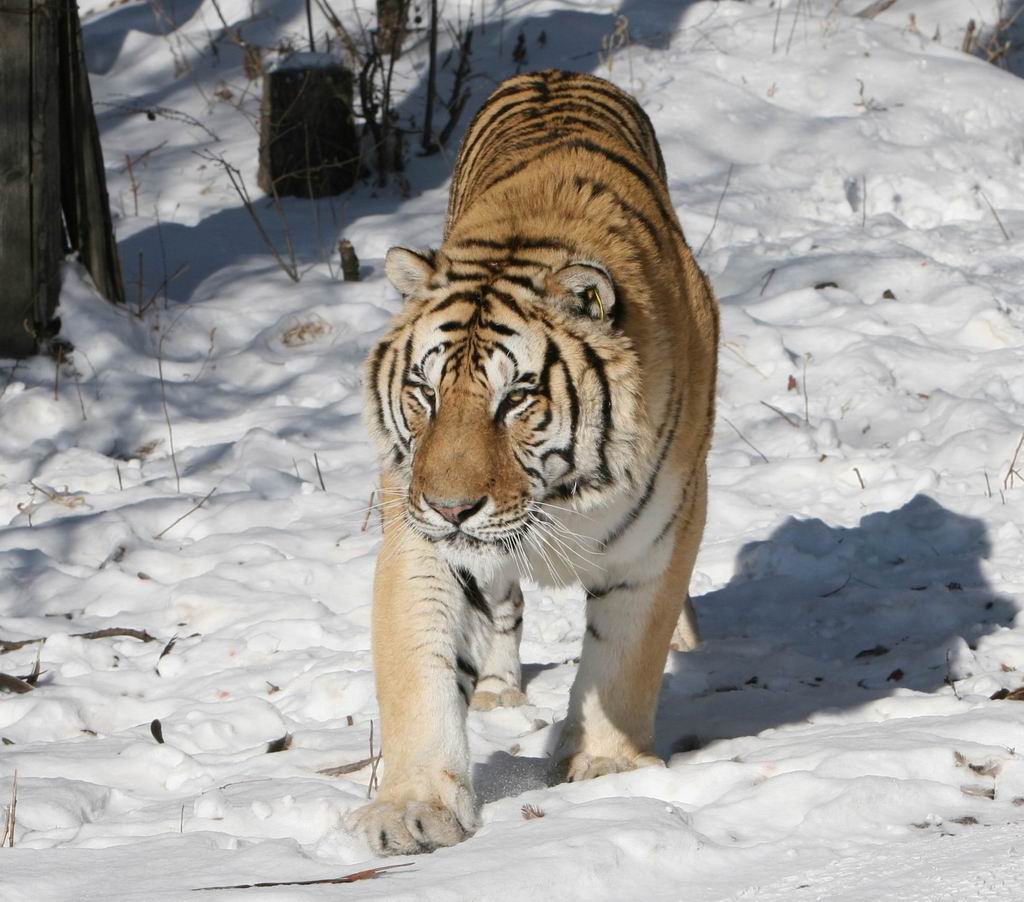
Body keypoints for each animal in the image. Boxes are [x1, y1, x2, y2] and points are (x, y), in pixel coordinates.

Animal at [348, 68, 716, 851]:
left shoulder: (662, 534)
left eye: (515, 398)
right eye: (424, 392)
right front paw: (413, 808)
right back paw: (496, 689)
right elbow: (417, 669)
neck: (562, 498)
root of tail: (556, 73)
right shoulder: (417, 538)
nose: (452, 507)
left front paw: (607, 765)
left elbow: (626, 655)